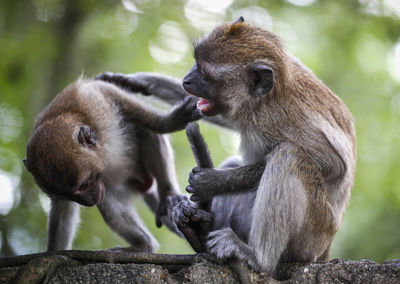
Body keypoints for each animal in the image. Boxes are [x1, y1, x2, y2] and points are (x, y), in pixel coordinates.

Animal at [24, 77, 200, 251]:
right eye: (70, 195)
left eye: (84, 184)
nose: (88, 201)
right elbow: (62, 211)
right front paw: (52, 252)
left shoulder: (94, 103)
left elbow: (113, 94)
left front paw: (166, 122)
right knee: (107, 197)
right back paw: (143, 244)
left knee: (143, 129)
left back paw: (167, 193)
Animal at [97, 17, 356, 276]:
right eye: (195, 64)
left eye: (204, 73)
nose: (186, 80)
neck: (262, 101)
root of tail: (324, 251)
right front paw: (137, 81)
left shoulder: (284, 118)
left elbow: (331, 165)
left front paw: (212, 181)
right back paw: (199, 232)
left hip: (312, 237)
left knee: (289, 156)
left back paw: (257, 257)